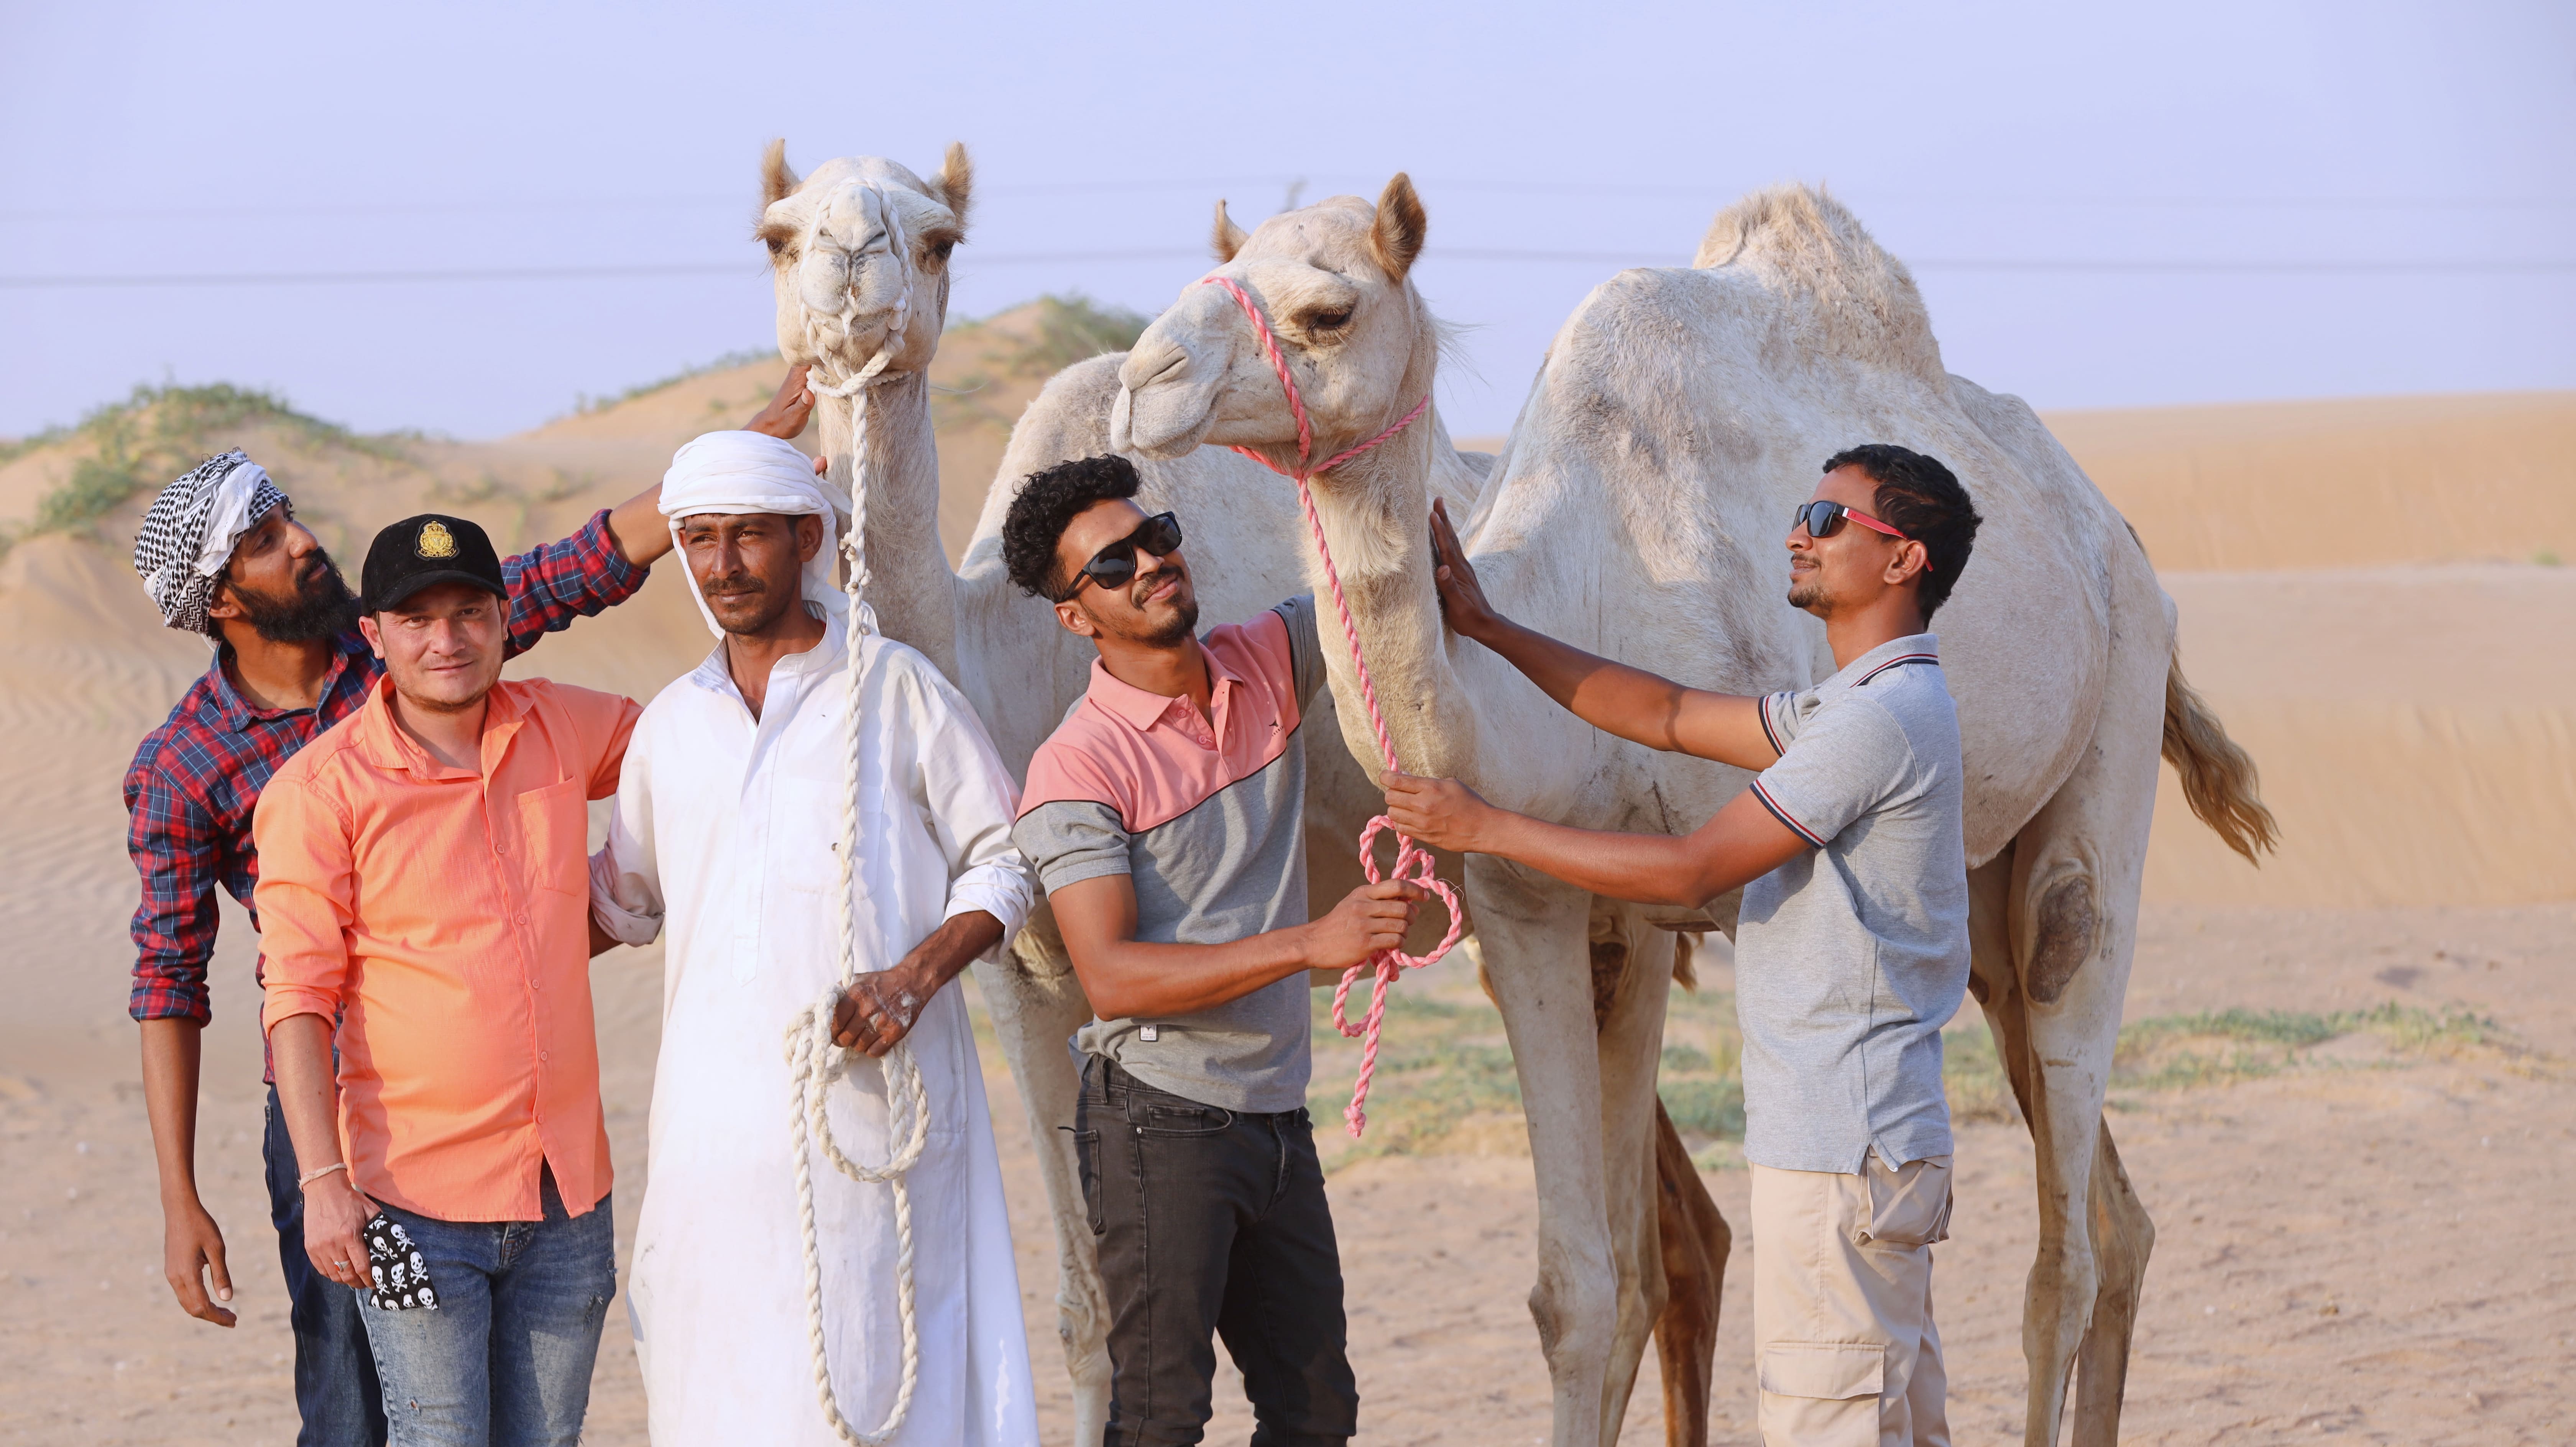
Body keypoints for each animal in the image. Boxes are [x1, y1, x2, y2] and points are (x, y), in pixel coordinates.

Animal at [1111, 177, 2274, 1447]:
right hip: (1972, 884)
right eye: (1217, 270)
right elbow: (1586, 1283)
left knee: (2060, 1135)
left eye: (1329, 309)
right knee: (2107, 1207)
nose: (1143, 376)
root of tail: (2118, 533)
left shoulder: (1720, 881)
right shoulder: (1548, 913)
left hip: (2115, 705)